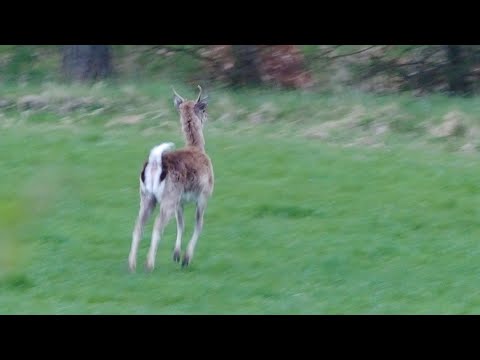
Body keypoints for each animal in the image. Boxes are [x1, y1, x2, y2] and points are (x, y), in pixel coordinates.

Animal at [129, 86, 216, 272]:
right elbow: (199, 224)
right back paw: (149, 264)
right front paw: (186, 258)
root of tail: (155, 162)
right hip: (168, 197)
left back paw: (132, 265)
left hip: (146, 196)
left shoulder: (180, 201)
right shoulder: (204, 195)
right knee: (157, 226)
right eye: (204, 109)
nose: (207, 117)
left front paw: (176, 255)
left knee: (138, 225)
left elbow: (181, 224)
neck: (197, 148)